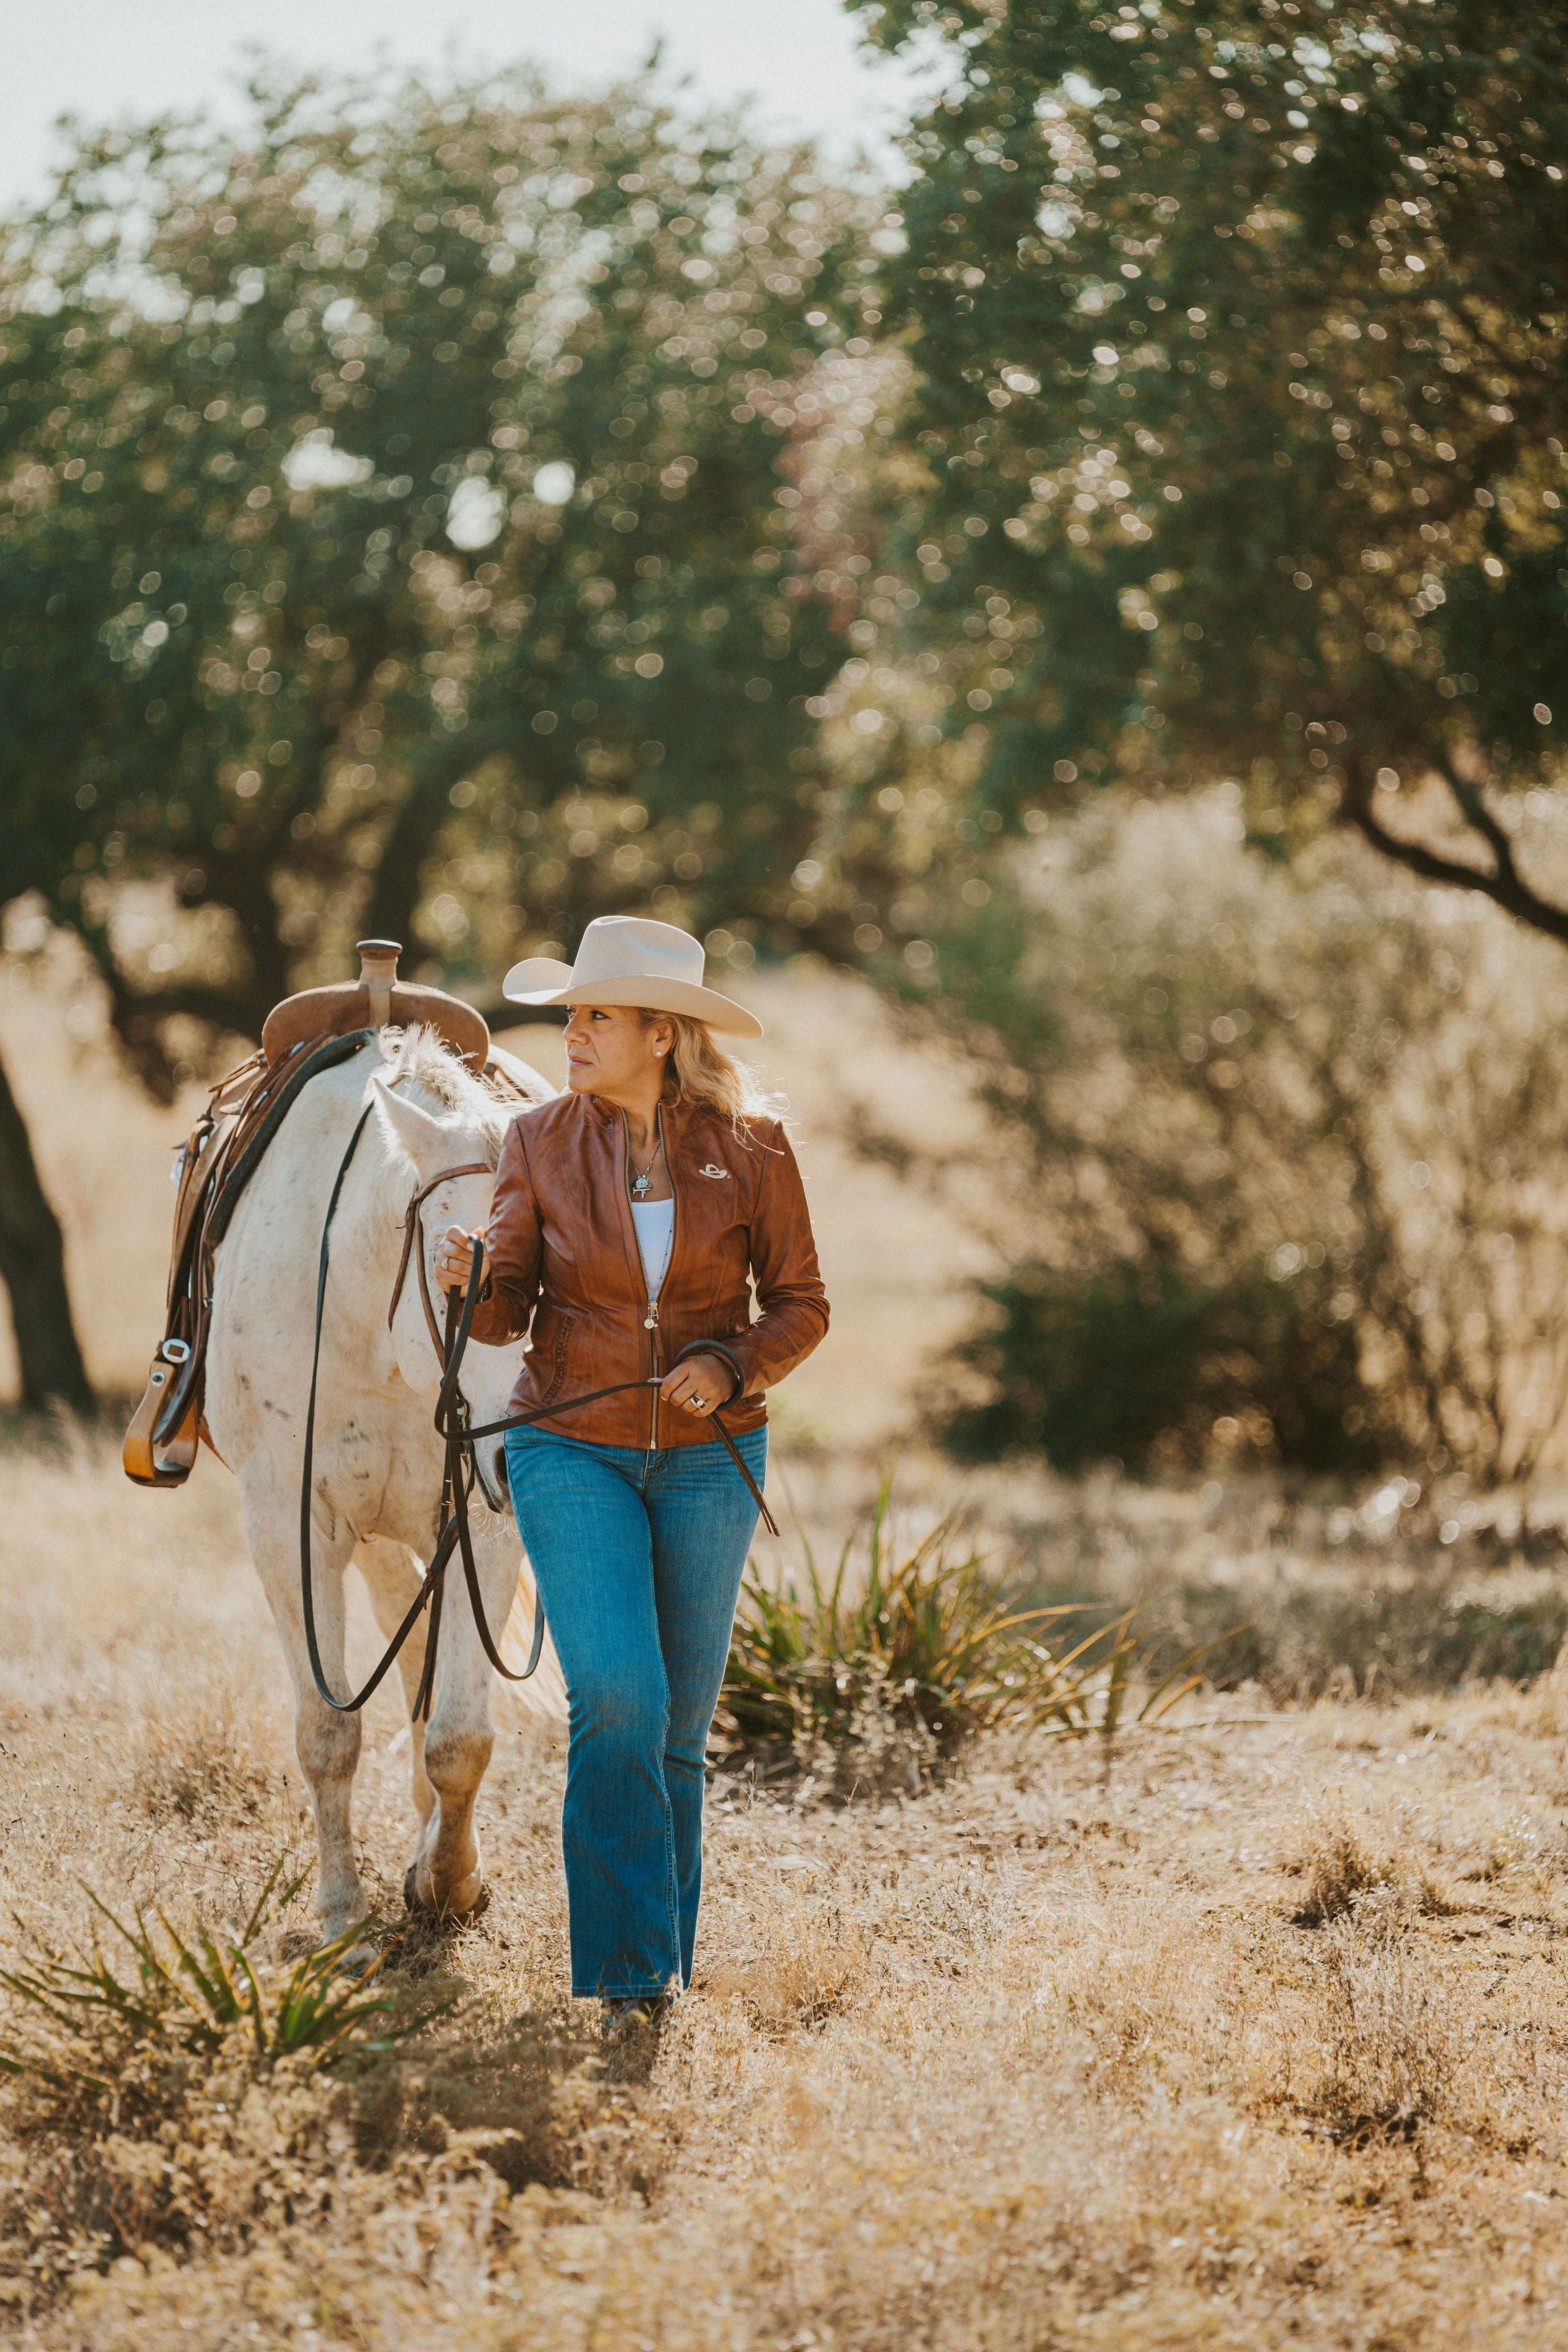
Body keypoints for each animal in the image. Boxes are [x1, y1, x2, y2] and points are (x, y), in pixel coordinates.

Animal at [206, 1039, 566, 1938]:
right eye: (467, 1278)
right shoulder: (290, 1530)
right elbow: (327, 1735)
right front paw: (342, 1918)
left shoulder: (482, 1522)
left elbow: (459, 1739)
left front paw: (451, 1881)